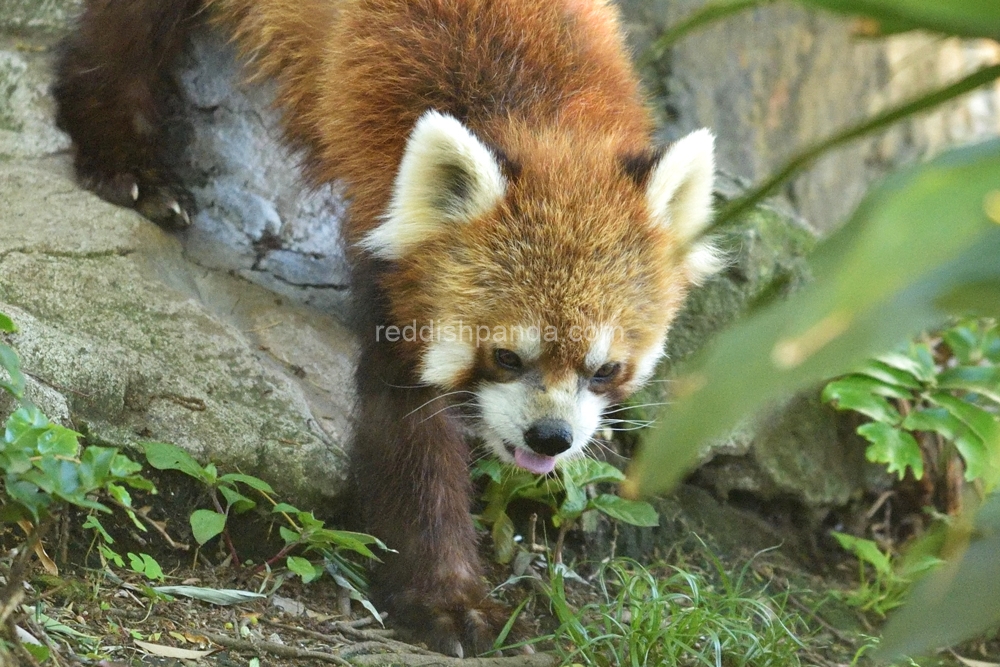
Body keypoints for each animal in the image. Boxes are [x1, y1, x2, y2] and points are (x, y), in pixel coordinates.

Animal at [52, 0, 720, 656]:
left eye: (604, 369)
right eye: (506, 356)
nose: (550, 437)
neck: (540, 114)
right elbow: (408, 432)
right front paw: (445, 598)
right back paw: (126, 162)